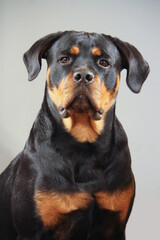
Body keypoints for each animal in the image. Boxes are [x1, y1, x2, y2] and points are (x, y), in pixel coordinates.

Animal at [0, 31, 150, 239]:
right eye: (64, 59)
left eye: (104, 62)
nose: (84, 75)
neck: (84, 144)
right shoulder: (32, 230)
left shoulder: (116, 225)